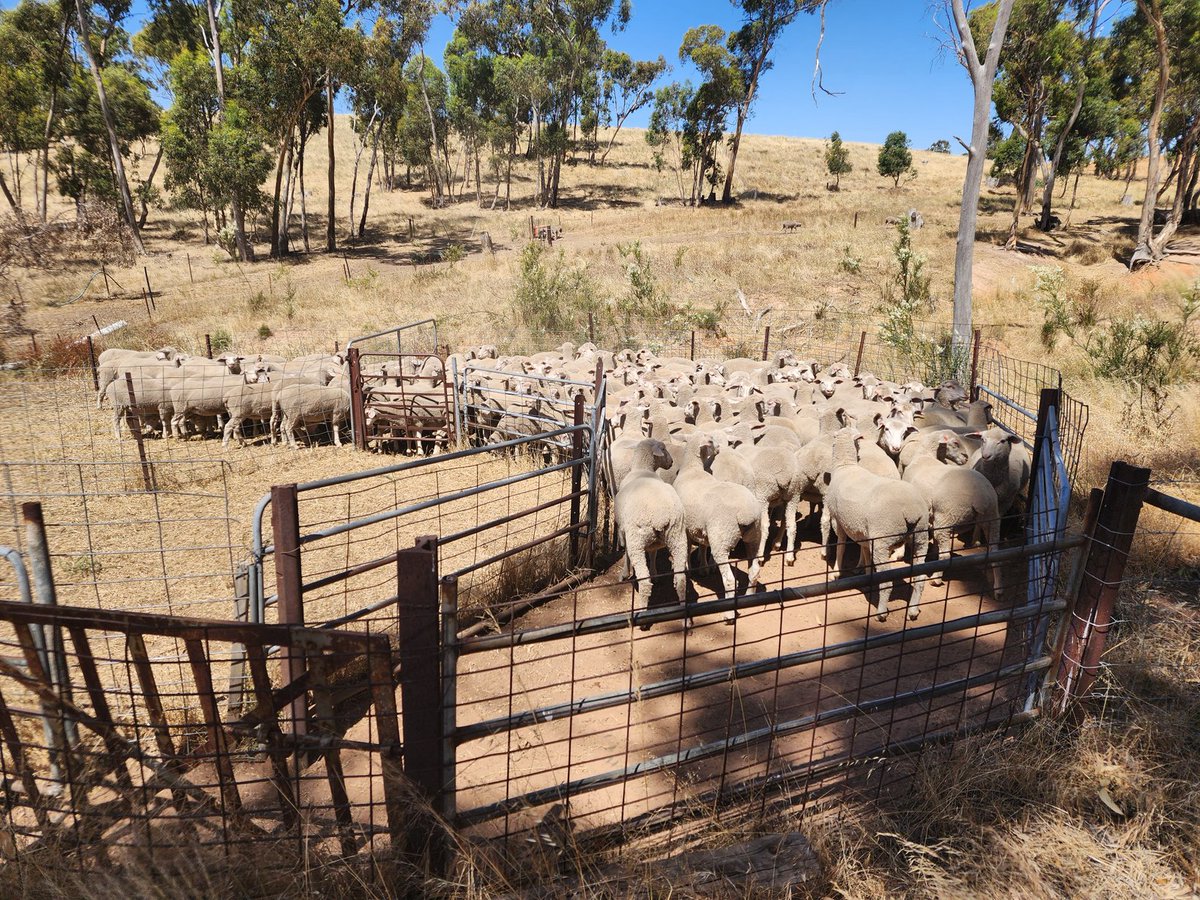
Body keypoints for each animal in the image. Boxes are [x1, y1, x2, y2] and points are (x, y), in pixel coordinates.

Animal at [614, 439, 691, 624]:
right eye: (663, 449)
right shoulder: (655, 542)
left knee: (644, 582)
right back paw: (684, 616)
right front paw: (656, 572)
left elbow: (625, 554)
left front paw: (624, 573)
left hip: (637, 539)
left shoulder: (624, 531)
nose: (671, 462)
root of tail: (660, 516)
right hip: (677, 536)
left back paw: (642, 614)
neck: (642, 469)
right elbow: (654, 553)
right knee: (681, 579)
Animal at [672, 434, 763, 609]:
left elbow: (687, 548)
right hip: (754, 536)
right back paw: (749, 597)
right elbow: (702, 545)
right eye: (711, 440)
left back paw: (729, 611)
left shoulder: (684, 527)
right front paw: (703, 568)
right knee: (754, 571)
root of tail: (746, 513)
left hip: (721, 537)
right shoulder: (698, 525)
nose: (719, 448)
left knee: (729, 581)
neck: (691, 469)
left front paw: (689, 568)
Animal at [825, 427, 936, 624]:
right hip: (920, 538)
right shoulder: (862, 529)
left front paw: (836, 572)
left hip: (883, 541)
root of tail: (910, 510)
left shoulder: (838, 520)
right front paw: (864, 571)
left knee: (887, 581)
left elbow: (840, 547)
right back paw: (913, 610)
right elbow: (864, 551)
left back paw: (881, 612)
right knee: (920, 577)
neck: (845, 465)